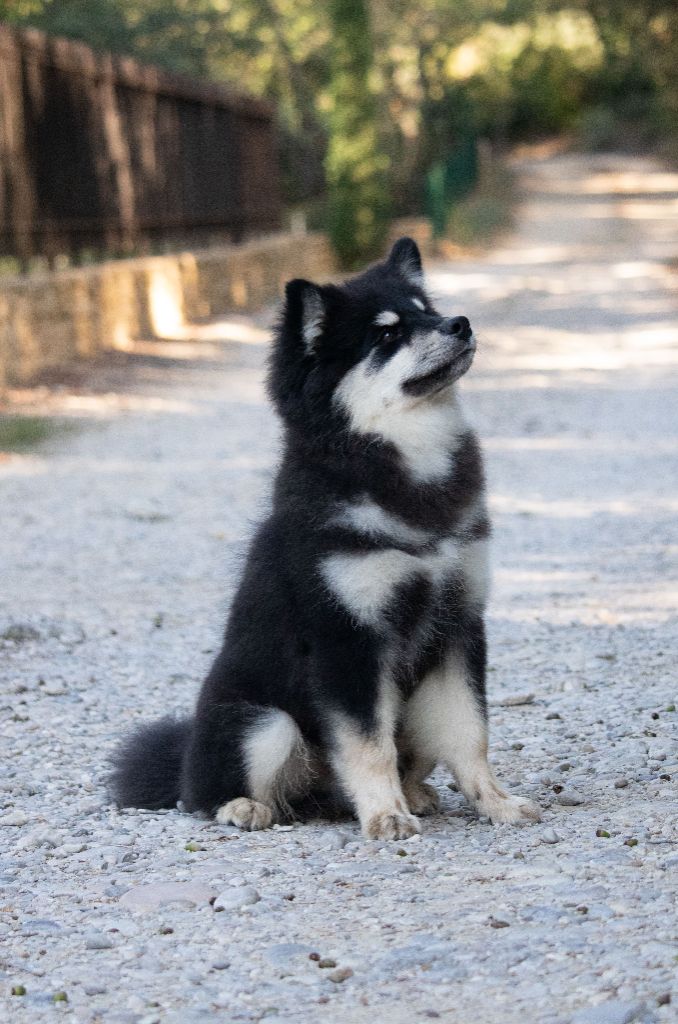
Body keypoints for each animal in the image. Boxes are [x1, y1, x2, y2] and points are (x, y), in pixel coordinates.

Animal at [112, 239, 548, 839]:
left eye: (426, 311)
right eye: (386, 335)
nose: (459, 324)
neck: (404, 459)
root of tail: (183, 759)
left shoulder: (457, 627)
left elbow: (470, 735)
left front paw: (496, 804)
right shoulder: (348, 639)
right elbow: (368, 745)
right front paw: (386, 815)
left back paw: (417, 794)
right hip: (264, 721)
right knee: (205, 794)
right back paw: (244, 807)